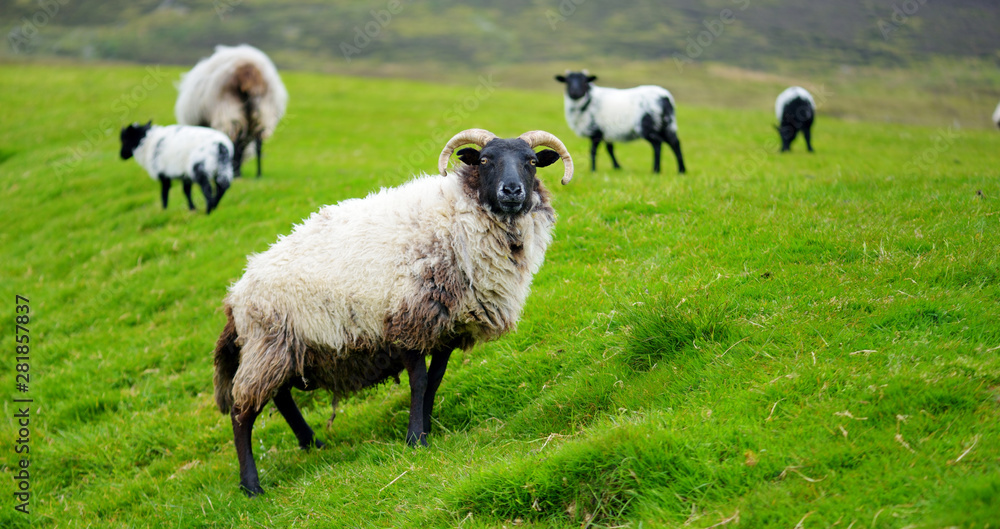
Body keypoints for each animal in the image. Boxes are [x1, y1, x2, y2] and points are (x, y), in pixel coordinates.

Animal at [175, 44, 288, 178]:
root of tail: (248, 69)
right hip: (262, 112)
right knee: (258, 142)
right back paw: (258, 174)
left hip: (229, 110)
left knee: (236, 142)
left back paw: (236, 173)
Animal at [213, 128, 574, 496]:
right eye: (485, 160)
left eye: (531, 162)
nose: (512, 191)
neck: (458, 218)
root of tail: (237, 292)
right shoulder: (406, 321)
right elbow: (419, 381)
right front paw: (416, 439)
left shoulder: (447, 328)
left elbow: (435, 380)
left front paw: (427, 427)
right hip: (268, 344)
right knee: (242, 412)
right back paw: (251, 485)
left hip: (286, 350)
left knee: (281, 397)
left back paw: (312, 443)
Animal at [555, 70, 685, 174]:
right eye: (567, 81)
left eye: (584, 81)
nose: (574, 92)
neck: (588, 101)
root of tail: (664, 97)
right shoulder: (607, 132)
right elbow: (610, 149)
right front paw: (617, 167)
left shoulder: (596, 131)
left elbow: (593, 151)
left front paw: (593, 170)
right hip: (667, 124)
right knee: (675, 142)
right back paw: (681, 170)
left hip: (648, 125)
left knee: (657, 144)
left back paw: (656, 170)